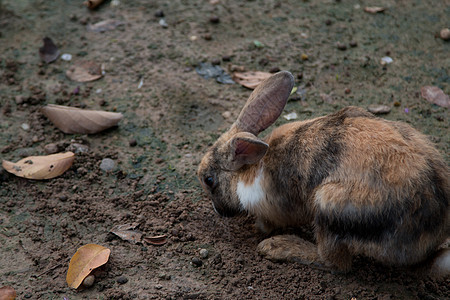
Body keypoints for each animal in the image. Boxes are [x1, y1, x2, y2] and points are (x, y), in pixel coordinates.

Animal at [198, 71, 450, 276]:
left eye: (209, 180)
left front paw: (258, 231)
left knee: (336, 264)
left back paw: (278, 246)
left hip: (330, 207)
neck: (250, 168)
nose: (219, 211)